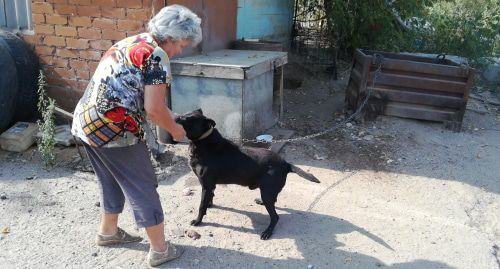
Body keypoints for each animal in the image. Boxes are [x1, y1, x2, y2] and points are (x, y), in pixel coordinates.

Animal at [176, 109, 320, 239]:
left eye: (190, 119)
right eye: (185, 113)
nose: (176, 117)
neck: (203, 142)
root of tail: (285, 163)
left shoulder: (206, 184)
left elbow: (201, 206)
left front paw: (198, 220)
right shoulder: (210, 185)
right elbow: (209, 197)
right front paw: (209, 204)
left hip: (268, 192)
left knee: (275, 217)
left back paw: (268, 232)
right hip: (268, 191)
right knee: (274, 200)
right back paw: (261, 203)